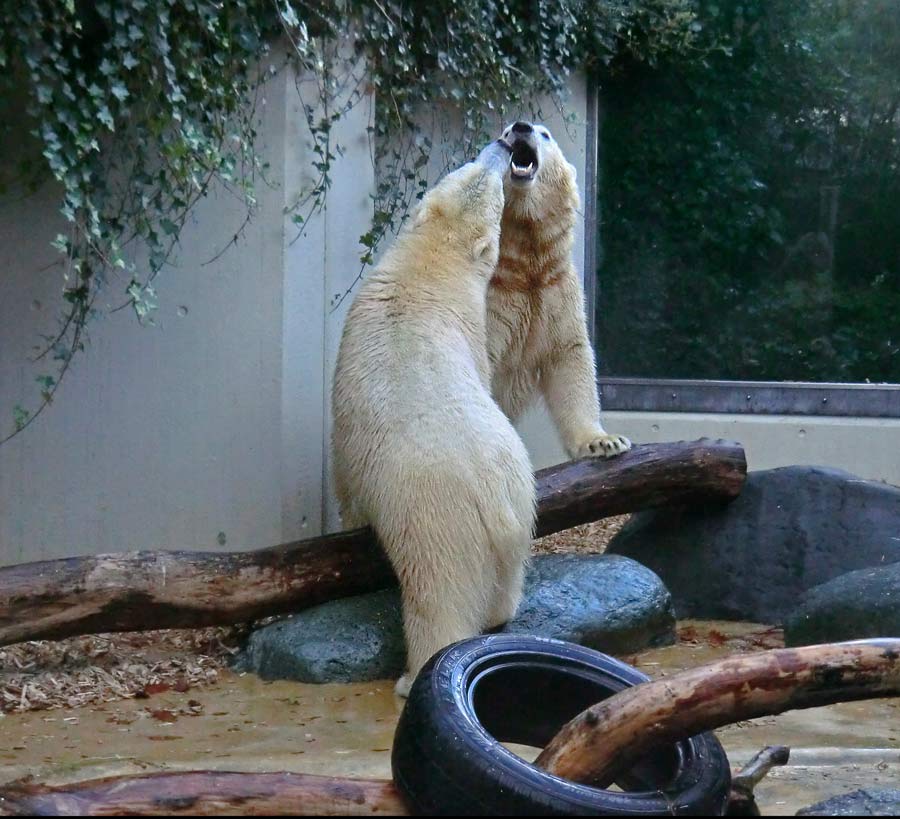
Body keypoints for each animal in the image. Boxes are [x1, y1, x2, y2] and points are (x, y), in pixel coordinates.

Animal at [334, 143, 536, 700]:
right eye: (472, 169)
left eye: (493, 192)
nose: (504, 144)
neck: (429, 268)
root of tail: (494, 497)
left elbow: (344, 472)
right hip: (521, 502)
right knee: (506, 577)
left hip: (435, 518)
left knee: (437, 596)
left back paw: (412, 676)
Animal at [488, 120, 628, 462]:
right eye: (506, 131)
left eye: (545, 134)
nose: (521, 127)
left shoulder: (556, 291)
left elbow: (569, 358)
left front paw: (603, 441)